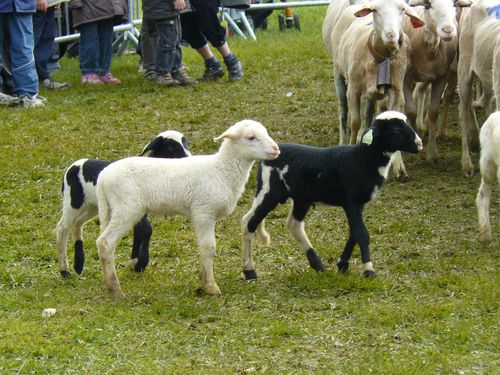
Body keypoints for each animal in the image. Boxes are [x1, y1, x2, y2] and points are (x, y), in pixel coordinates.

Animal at [54, 131, 190, 278]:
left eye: (186, 144)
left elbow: (140, 231)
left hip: (92, 206)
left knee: (78, 223)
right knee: (62, 228)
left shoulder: (140, 210)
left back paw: (78, 264)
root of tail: (73, 166)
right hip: (73, 202)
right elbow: (147, 229)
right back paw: (65, 270)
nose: (189, 158)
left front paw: (134, 263)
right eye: (171, 147)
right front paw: (141, 264)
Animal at [94, 120, 282, 300]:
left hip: (111, 209)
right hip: (127, 208)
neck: (221, 170)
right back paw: (116, 290)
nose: (276, 149)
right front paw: (211, 287)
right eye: (251, 137)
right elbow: (209, 247)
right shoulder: (203, 211)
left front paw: (203, 280)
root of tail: (103, 177)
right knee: (105, 242)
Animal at [240, 110, 424, 280]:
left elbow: (353, 233)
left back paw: (318, 265)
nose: (420, 144)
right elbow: (361, 233)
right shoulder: (351, 202)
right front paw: (369, 270)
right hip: (270, 192)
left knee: (294, 224)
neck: (362, 159)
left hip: (301, 198)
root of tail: (268, 156)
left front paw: (343, 265)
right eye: (396, 130)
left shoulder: (358, 203)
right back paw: (249, 271)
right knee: (249, 222)